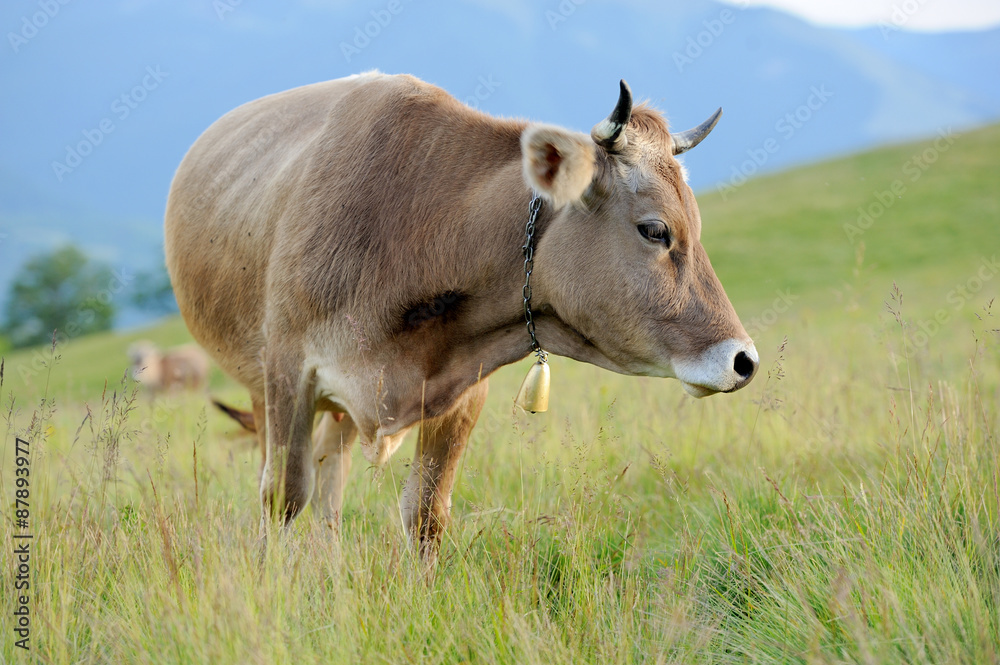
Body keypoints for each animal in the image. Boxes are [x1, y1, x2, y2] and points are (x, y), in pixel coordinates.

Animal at [164, 71, 756, 556]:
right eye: (655, 229)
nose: (743, 361)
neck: (416, 227)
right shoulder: (289, 372)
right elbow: (282, 495)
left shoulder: (461, 388)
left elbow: (426, 514)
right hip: (259, 383)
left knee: (333, 477)